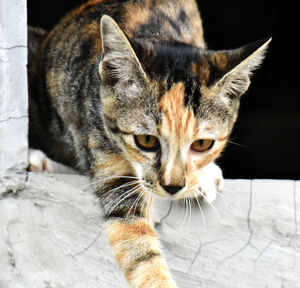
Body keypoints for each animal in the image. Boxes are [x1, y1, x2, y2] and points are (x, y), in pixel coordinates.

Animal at [28, 1, 270, 286]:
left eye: (201, 144)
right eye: (146, 141)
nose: (173, 186)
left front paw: (205, 176)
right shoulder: (101, 136)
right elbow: (136, 244)